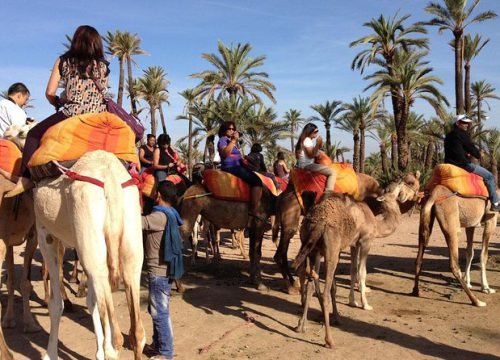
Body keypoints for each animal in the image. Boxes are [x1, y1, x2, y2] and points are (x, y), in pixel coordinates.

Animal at [33, 150, 145, 360]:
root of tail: (110, 180)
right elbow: (91, 301)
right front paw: (98, 351)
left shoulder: (46, 234)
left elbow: (56, 304)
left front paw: (50, 354)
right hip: (129, 234)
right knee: (137, 332)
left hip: (87, 216)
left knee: (116, 339)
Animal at [294, 174, 420, 348]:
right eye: (392, 188)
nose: (399, 179)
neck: (376, 224)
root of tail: (317, 222)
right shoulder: (366, 241)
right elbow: (362, 272)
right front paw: (365, 305)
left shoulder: (354, 244)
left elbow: (353, 270)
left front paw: (352, 302)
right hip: (331, 250)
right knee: (324, 291)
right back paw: (329, 340)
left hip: (312, 249)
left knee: (311, 283)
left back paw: (301, 326)